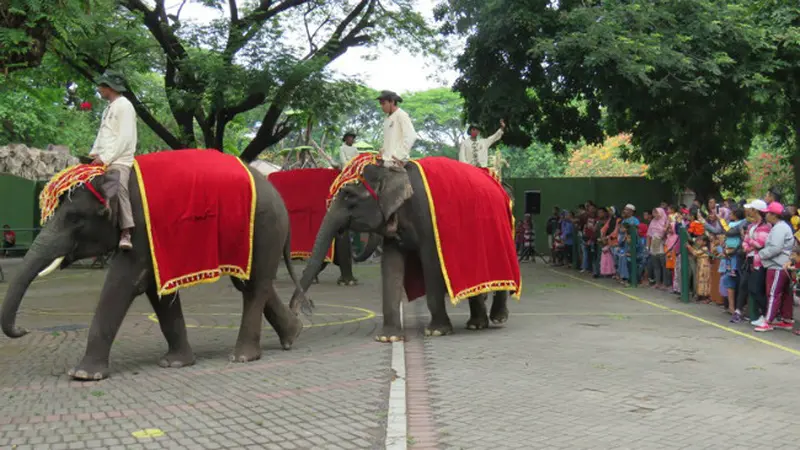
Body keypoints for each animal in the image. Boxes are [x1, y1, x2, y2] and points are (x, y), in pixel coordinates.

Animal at [1, 158, 306, 380]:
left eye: (74, 218)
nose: (23, 330)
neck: (112, 175)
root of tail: (279, 195)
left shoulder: (139, 232)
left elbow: (122, 284)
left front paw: (83, 375)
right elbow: (157, 293)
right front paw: (175, 364)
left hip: (265, 227)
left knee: (254, 286)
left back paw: (243, 356)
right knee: (249, 282)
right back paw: (293, 334)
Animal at [290, 159, 516, 342]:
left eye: (349, 196)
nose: (305, 309)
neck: (393, 171)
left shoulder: (427, 219)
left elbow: (431, 262)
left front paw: (437, 331)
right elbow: (391, 266)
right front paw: (388, 337)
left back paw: (498, 318)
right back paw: (476, 324)